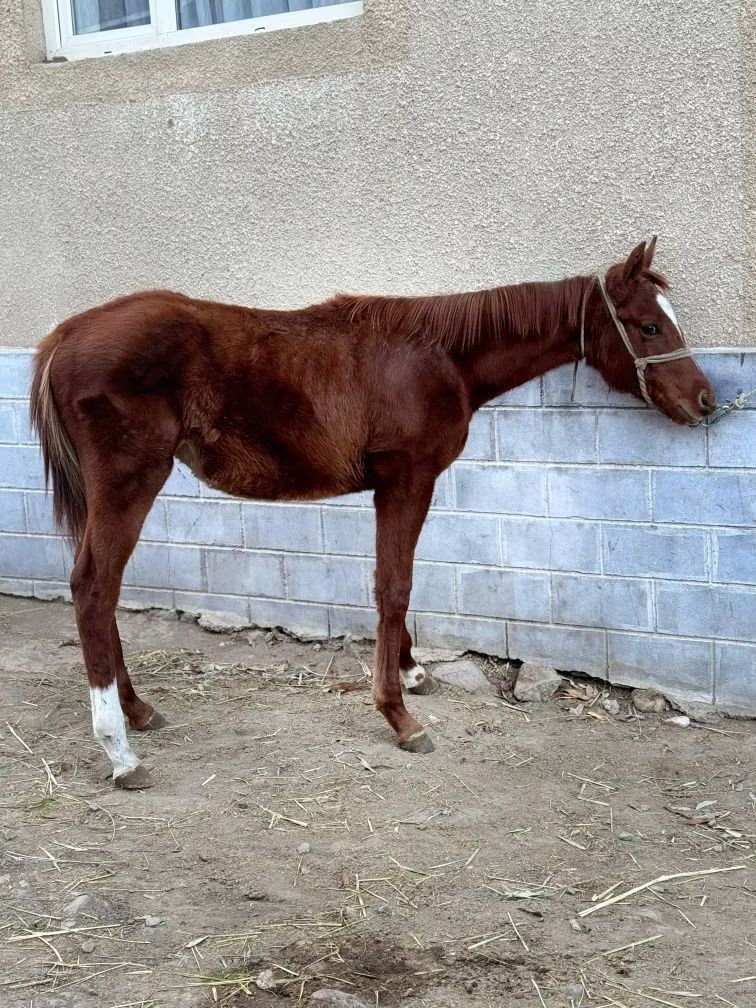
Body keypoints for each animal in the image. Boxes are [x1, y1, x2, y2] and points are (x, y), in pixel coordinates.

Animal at [30, 237, 716, 789]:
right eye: (649, 327)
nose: (706, 401)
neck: (439, 356)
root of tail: (64, 337)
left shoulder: (399, 485)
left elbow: (397, 584)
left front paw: (411, 674)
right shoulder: (407, 479)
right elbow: (394, 586)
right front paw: (400, 716)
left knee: (103, 591)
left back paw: (139, 711)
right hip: (130, 481)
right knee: (94, 588)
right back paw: (120, 752)